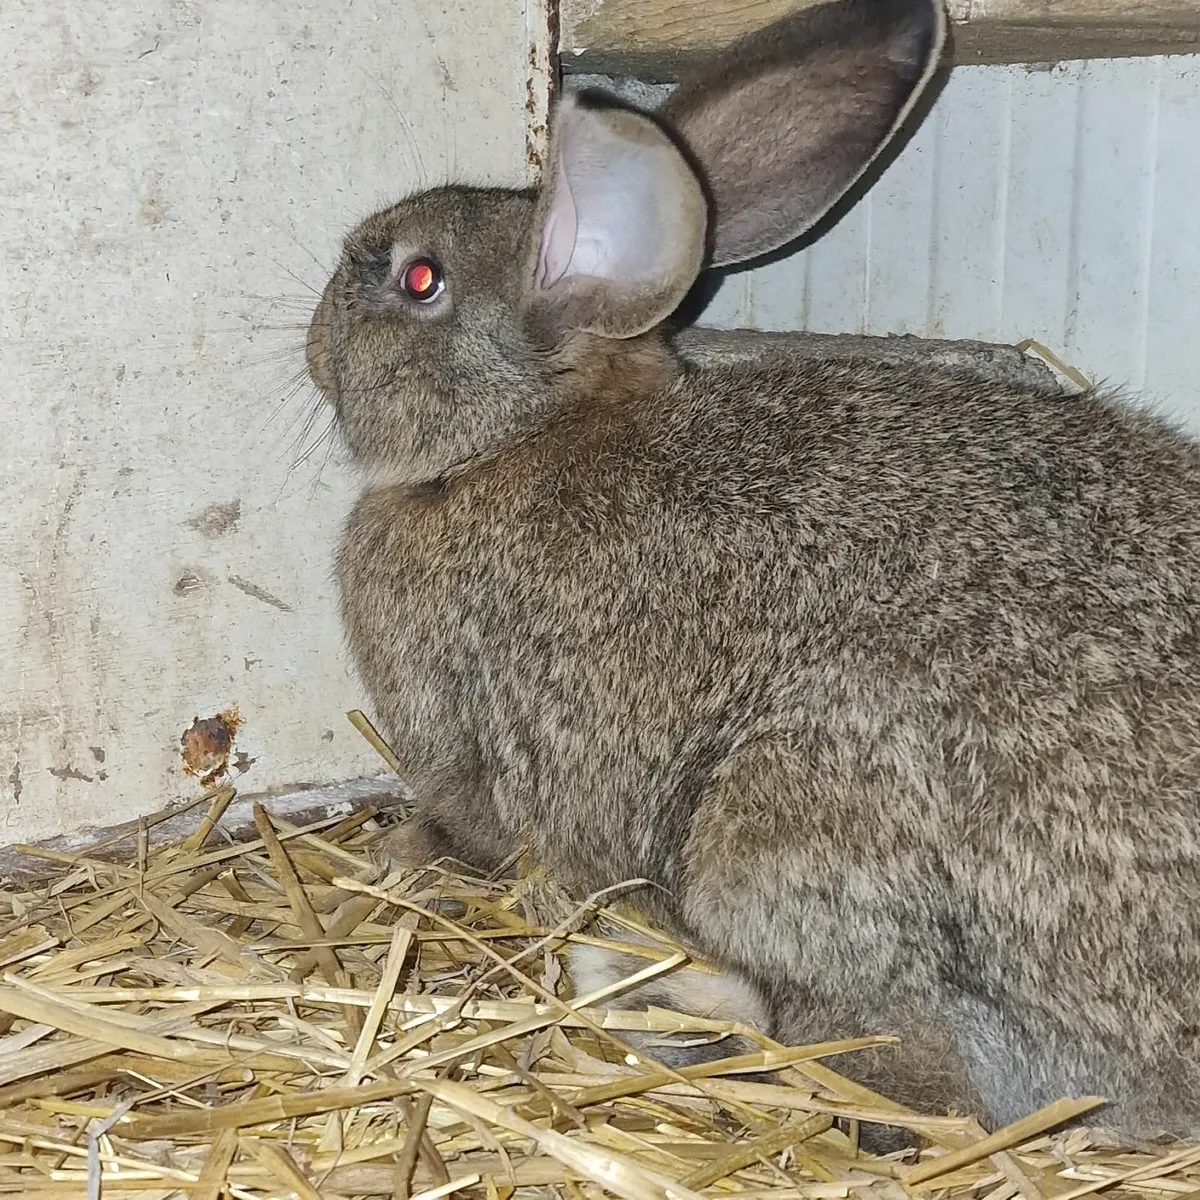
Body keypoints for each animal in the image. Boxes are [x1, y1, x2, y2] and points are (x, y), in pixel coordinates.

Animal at [307, 0, 1200, 1146]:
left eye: (419, 280)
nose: (316, 343)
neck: (521, 433)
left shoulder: (470, 738)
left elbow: (469, 823)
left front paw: (404, 855)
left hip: (776, 829)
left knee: (908, 1082)